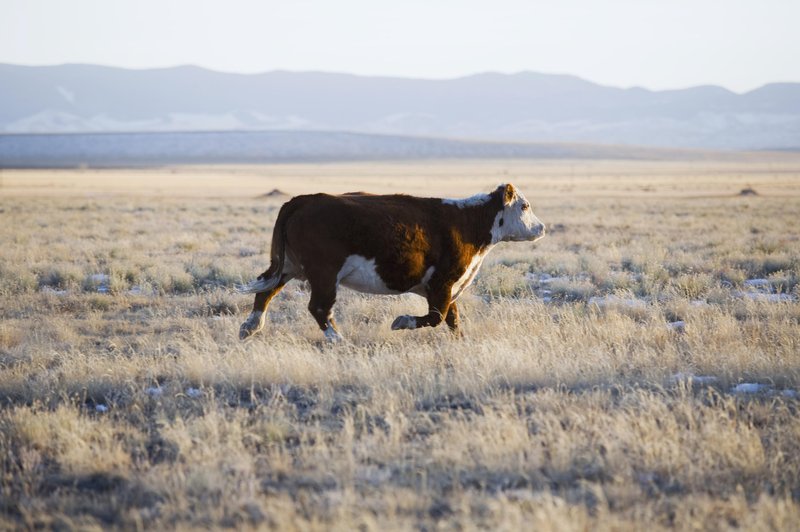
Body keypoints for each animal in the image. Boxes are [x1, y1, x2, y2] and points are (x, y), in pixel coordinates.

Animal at [236, 183, 544, 340]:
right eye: (525, 206)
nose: (541, 228)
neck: (469, 222)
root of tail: (304, 199)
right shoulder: (442, 282)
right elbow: (436, 317)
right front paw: (400, 322)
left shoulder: (447, 287)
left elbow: (452, 319)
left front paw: (461, 343)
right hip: (324, 272)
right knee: (319, 308)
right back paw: (339, 339)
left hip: (288, 265)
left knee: (265, 292)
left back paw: (249, 328)